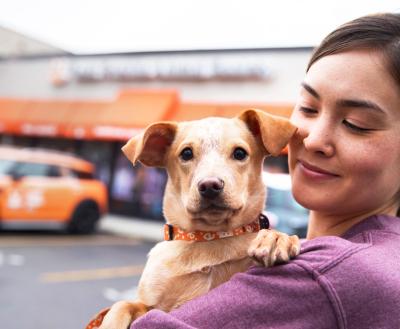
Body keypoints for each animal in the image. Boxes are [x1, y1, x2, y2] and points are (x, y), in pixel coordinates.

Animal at [94, 109, 300, 328]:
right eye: (186, 153)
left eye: (240, 153)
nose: (210, 186)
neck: (209, 237)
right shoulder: (149, 305)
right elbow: (122, 304)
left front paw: (276, 239)